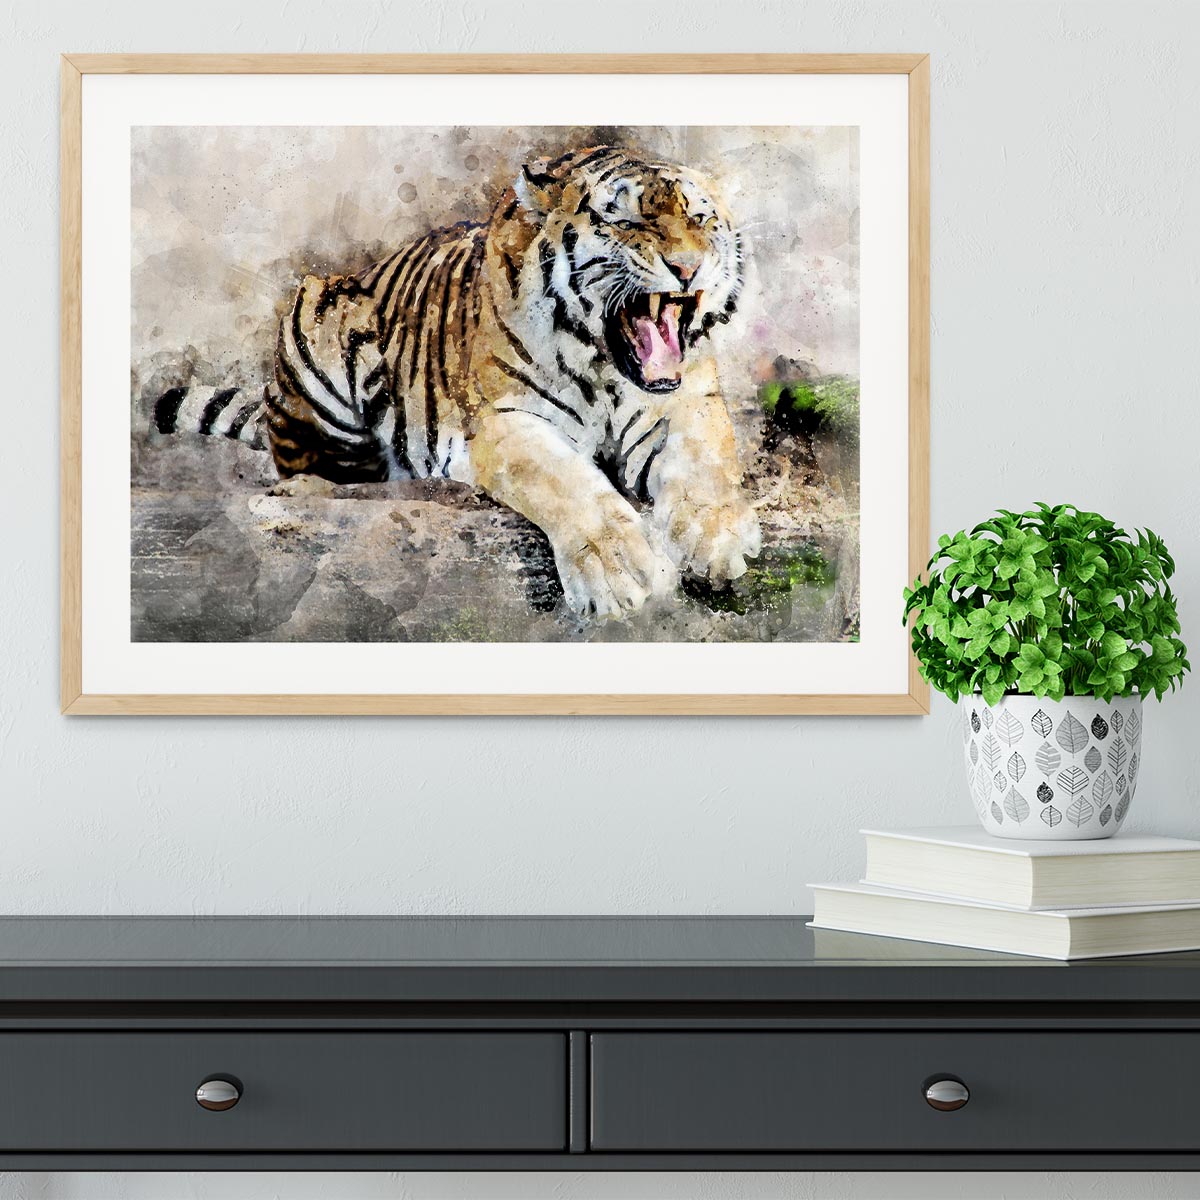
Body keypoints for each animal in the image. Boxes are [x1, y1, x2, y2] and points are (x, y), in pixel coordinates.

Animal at [153, 146, 761, 618]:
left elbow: (707, 464)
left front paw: (716, 539)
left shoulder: (687, 402)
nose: (688, 267)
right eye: (627, 221)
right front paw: (622, 572)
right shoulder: (508, 422)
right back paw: (309, 489)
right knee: (322, 465)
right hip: (316, 317)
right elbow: (569, 485)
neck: (606, 367)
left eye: (701, 219)